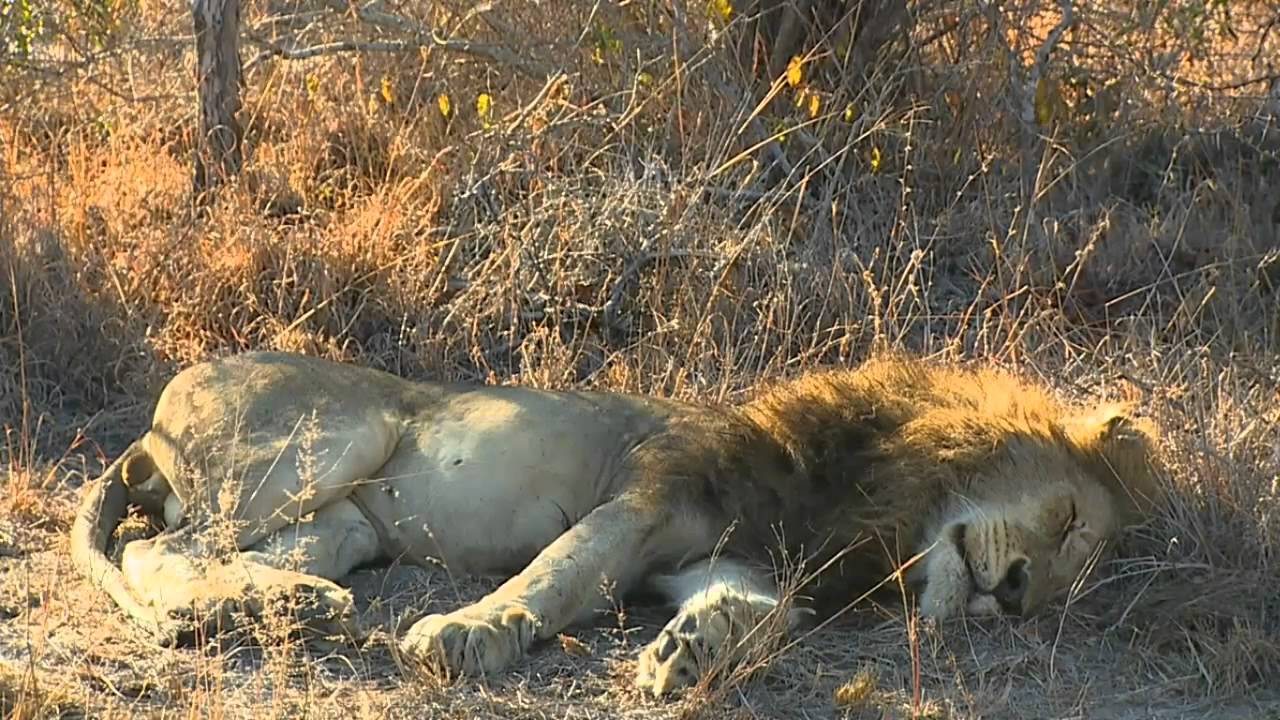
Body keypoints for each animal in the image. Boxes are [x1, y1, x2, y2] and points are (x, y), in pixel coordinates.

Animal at [70, 351, 1161, 698]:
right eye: (1067, 521)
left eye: (1061, 585)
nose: (1012, 598)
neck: (878, 514)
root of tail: (156, 411)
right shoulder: (646, 497)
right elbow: (554, 575)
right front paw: (462, 635)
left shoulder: (736, 562)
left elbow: (755, 617)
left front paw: (687, 653)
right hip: (333, 438)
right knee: (163, 546)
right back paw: (278, 609)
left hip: (341, 522)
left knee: (198, 555)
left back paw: (292, 604)